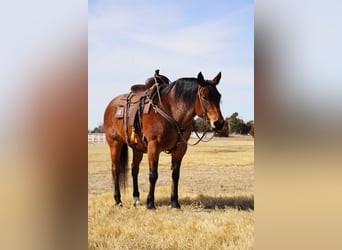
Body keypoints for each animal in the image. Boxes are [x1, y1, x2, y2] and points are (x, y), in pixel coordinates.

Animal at [103, 72, 223, 209]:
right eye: (204, 96)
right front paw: (150, 203)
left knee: (134, 169)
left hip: (137, 148)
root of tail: (111, 105)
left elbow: (175, 175)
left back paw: (136, 199)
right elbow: (153, 175)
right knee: (115, 170)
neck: (171, 112)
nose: (218, 123)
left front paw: (175, 203)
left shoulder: (180, 149)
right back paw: (118, 200)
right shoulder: (153, 147)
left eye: (219, 96)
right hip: (115, 144)